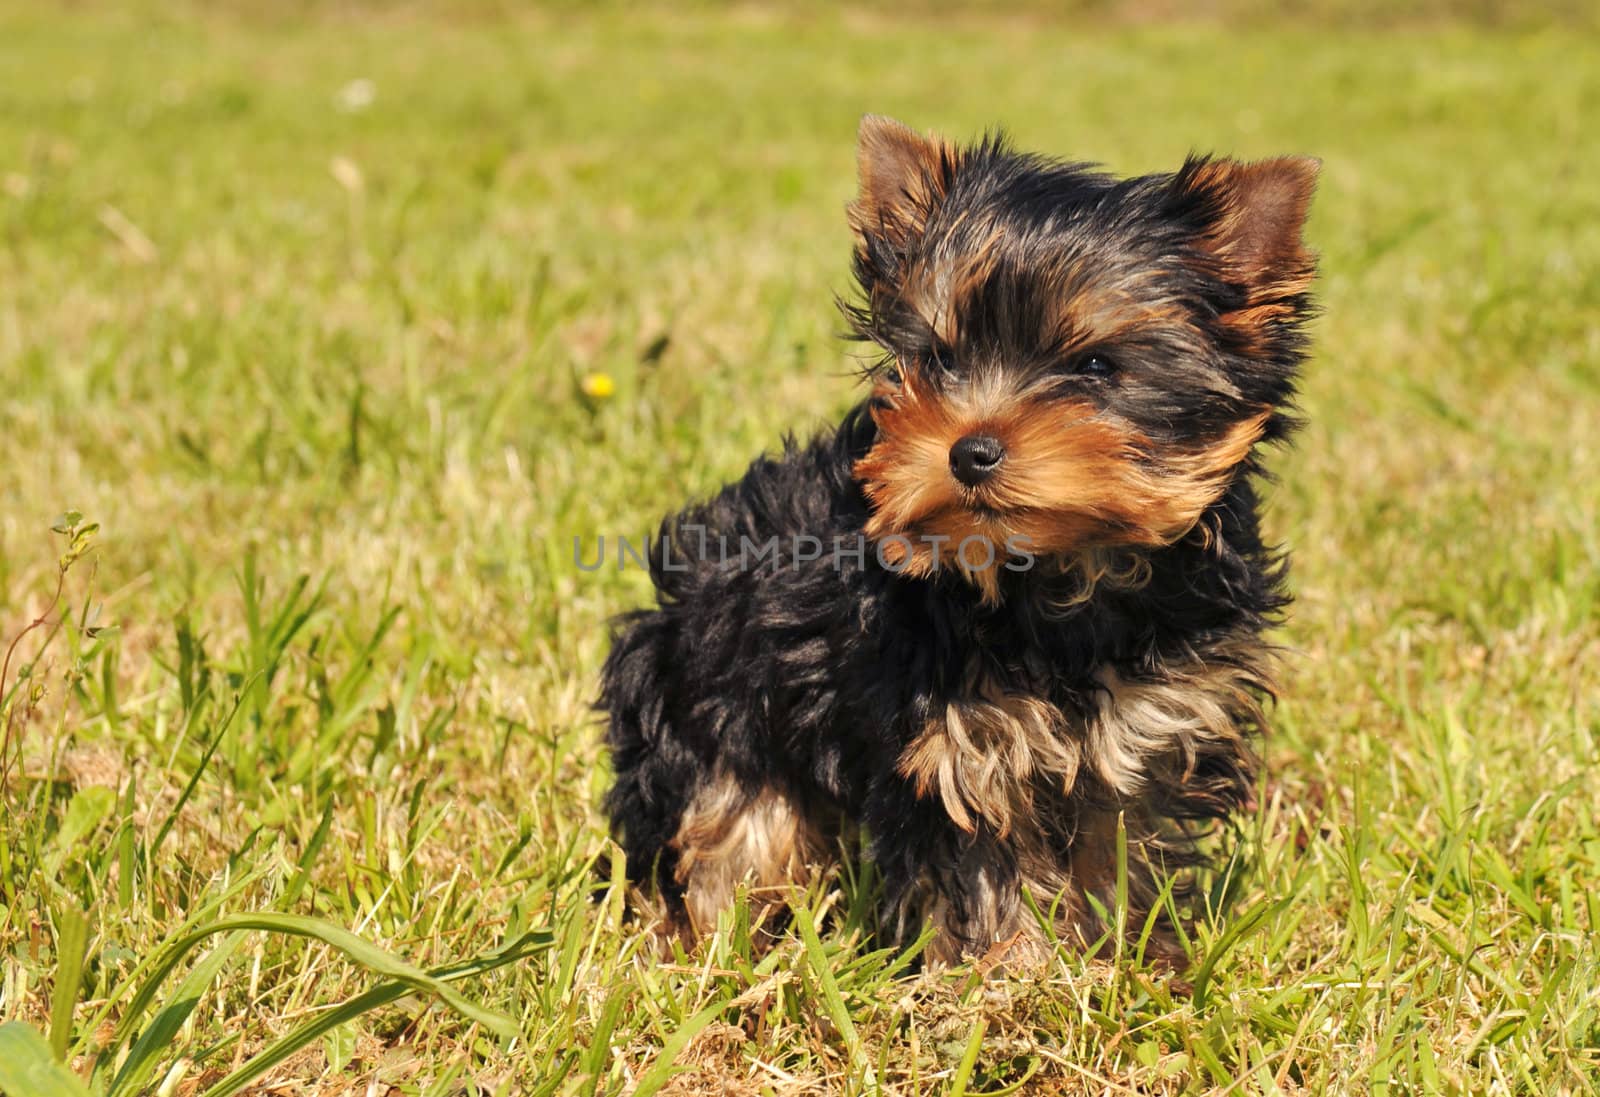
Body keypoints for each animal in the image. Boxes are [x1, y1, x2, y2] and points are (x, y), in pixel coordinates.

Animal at [598, 115, 1312, 965]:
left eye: (1096, 366)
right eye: (940, 358)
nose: (971, 450)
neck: (1057, 572)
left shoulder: (1151, 728)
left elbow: (1120, 848)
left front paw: (1126, 957)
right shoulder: (953, 744)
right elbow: (985, 874)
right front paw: (1014, 977)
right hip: (711, 707)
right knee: (729, 830)